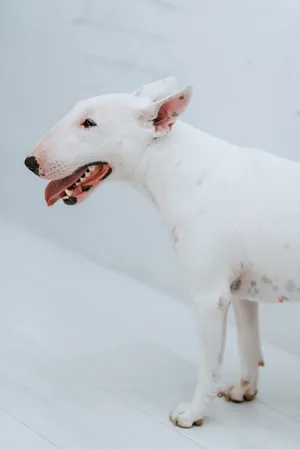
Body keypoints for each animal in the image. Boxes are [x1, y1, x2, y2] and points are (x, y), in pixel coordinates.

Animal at [25, 76, 300, 428]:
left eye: (89, 123)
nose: (30, 162)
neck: (178, 163)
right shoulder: (240, 292)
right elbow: (248, 343)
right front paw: (244, 390)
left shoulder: (209, 298)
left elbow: (209, 366)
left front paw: (193, 413)